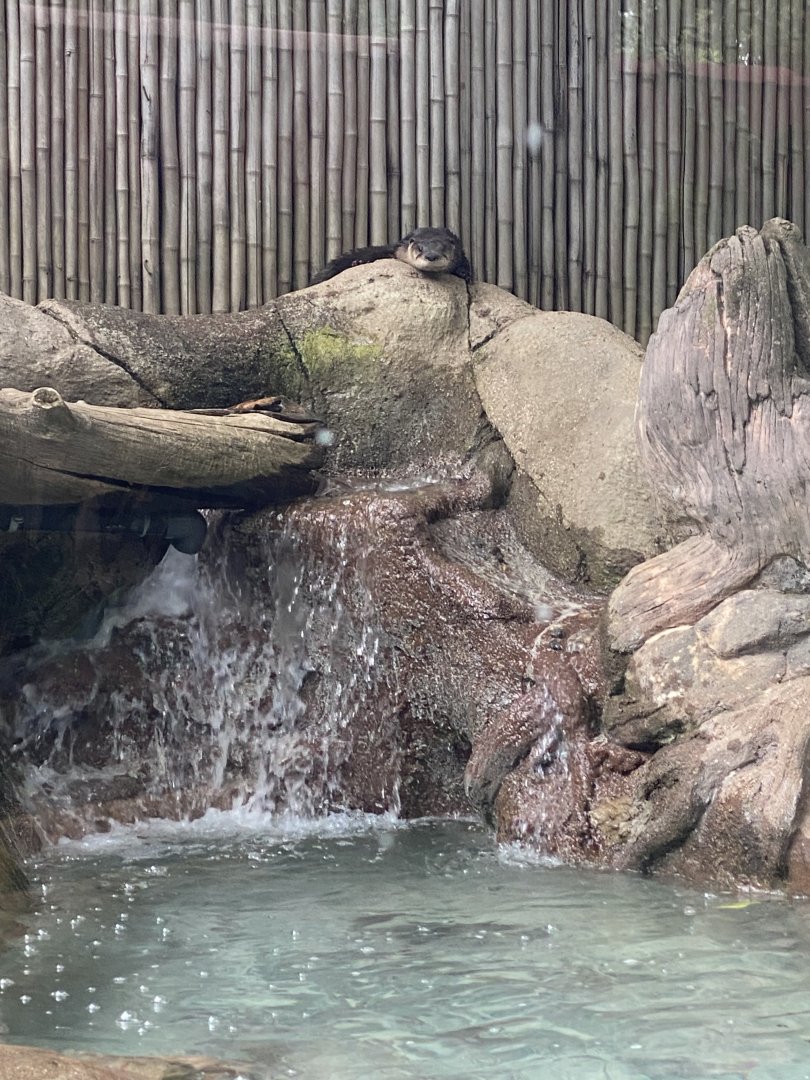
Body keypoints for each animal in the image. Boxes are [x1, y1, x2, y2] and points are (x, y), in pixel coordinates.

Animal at [310, 227, 472, 285]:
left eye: (443, 248)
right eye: (420, 248)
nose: (431, 256)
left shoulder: (459, 252)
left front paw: (464, 273)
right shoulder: (398, 247)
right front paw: (360, 260)